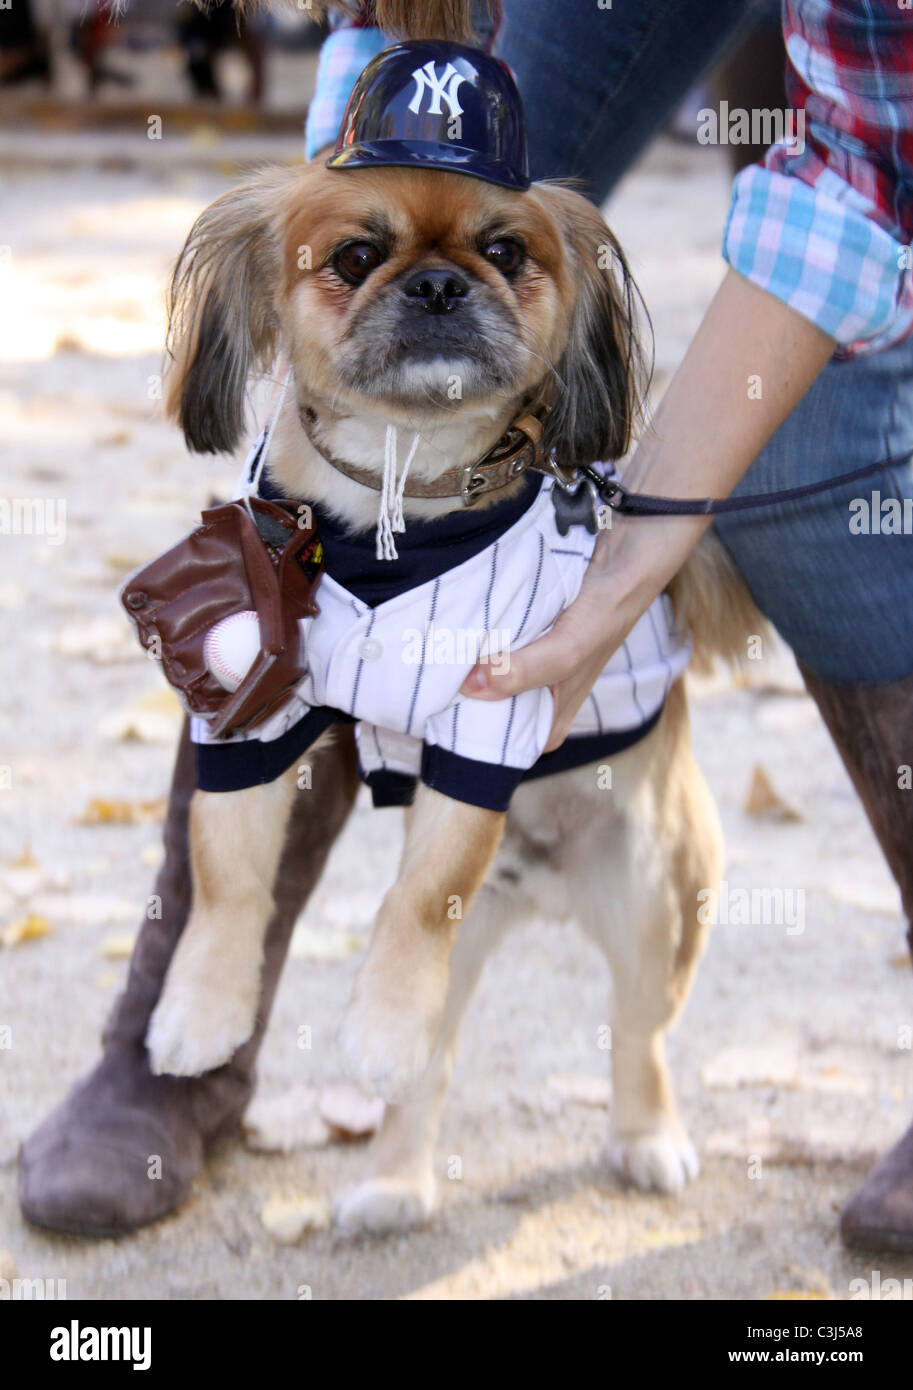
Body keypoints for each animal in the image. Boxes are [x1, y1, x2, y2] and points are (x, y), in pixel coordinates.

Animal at [144, 152, 755, 1234]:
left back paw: (646, 1139)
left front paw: (377, 1022)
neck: (396, 497)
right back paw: (394, 1182)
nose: (437, 284)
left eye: (505, 251)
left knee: (636, 1035)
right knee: (423, 1076)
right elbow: (224, 869)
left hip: (654, 909)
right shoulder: (255, 708)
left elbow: (424, 892)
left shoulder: (486, 722)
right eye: (355, 256)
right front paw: (199, 1010)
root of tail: (543, 887)